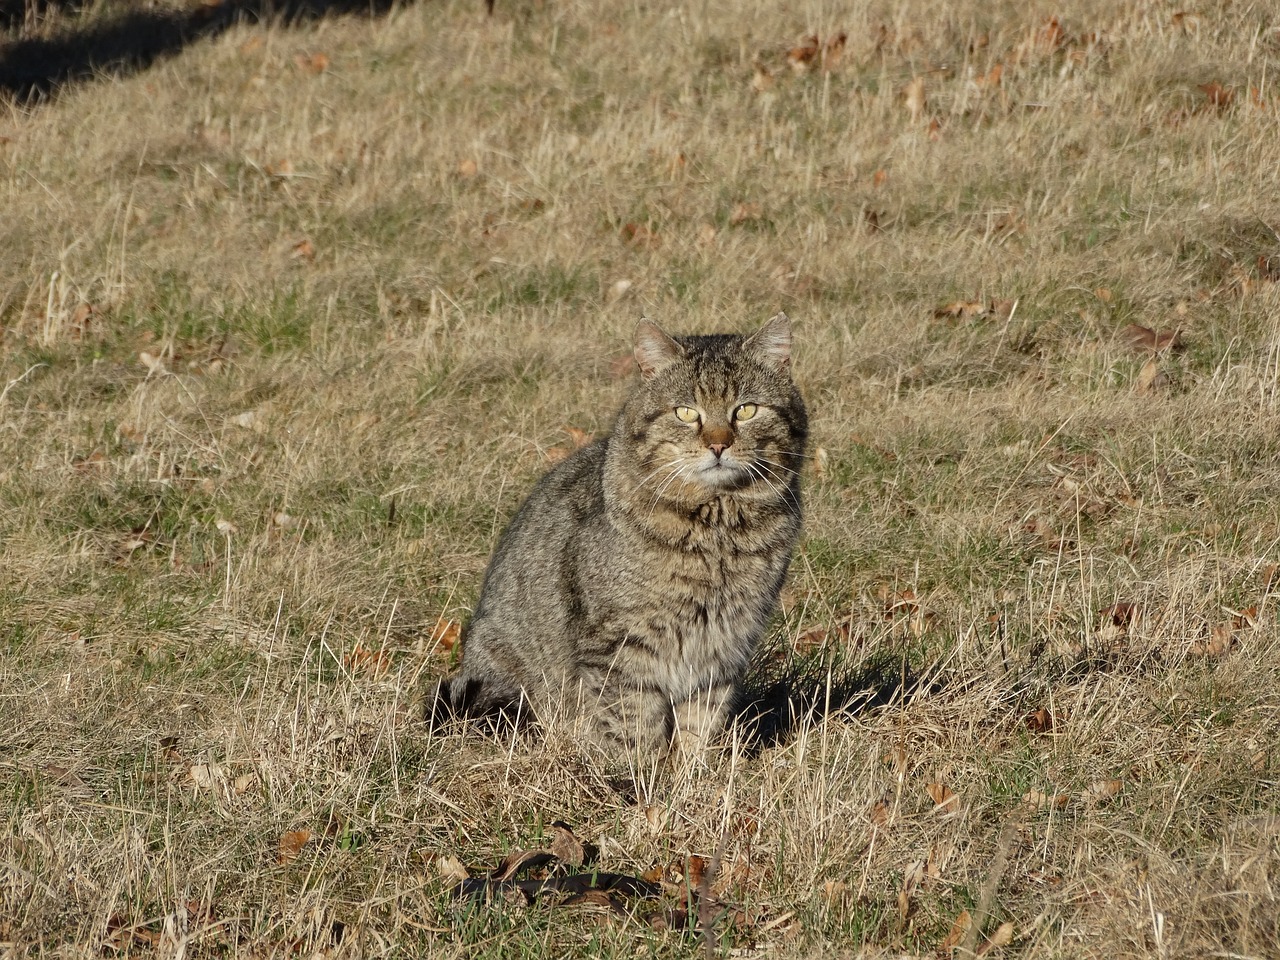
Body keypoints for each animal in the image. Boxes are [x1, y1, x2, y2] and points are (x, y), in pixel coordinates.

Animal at [430, 312, 808, 757]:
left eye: (746, 410)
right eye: (686, 412)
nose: (718, 445)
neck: (717, 527)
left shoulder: (725, 644)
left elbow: (701, 724)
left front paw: (695, 770)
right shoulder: (622, 645)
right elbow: (632, 722)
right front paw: (638, 772)